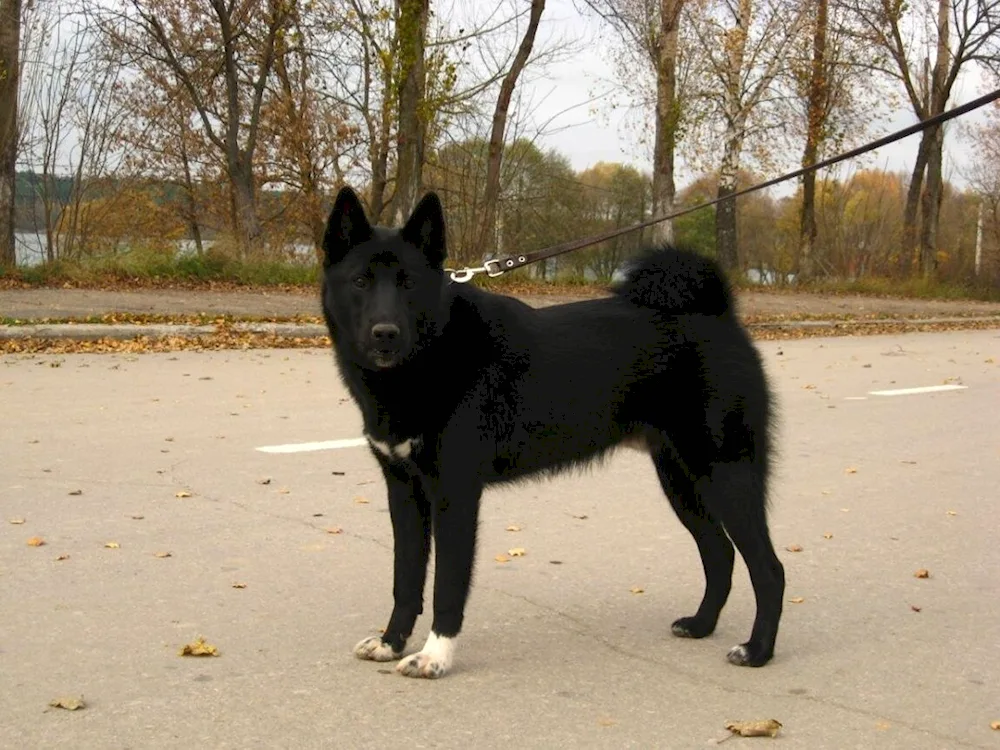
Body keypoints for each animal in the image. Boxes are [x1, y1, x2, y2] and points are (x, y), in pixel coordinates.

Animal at [320, 188, 780, 680]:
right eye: (360, 281)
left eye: (408, 284)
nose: (385, 333)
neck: (430, 358)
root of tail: (717, 312)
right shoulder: (404, 492)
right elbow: (405, 579)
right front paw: (391, 642)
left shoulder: (454, 494)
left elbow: (447, 585)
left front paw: (435, 656)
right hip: (680, 480)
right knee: (720, 553)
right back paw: (700, 625)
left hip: (727, 475)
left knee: (768, 568)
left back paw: (757, 650)